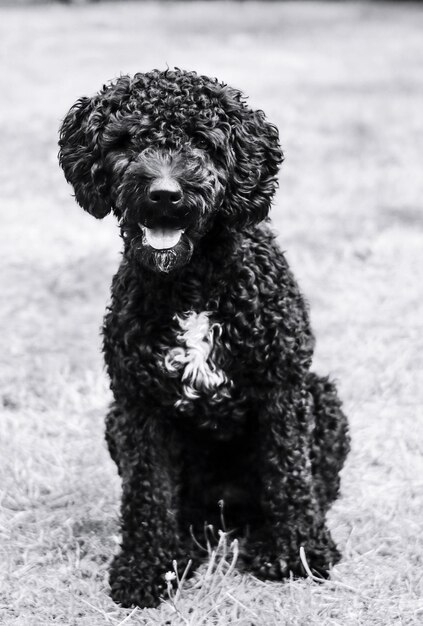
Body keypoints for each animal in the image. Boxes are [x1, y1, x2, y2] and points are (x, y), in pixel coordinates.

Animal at [58, 68, 352, 604]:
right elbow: (148, 494)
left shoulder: (283, 390)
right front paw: (148, 568)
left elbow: (289, 476)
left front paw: (297, 553)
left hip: (322, 398)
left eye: (201, 140)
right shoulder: (139, 406)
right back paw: (188, 543)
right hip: (116, 423)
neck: (194, 283)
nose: (164, 193)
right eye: (127, 141)